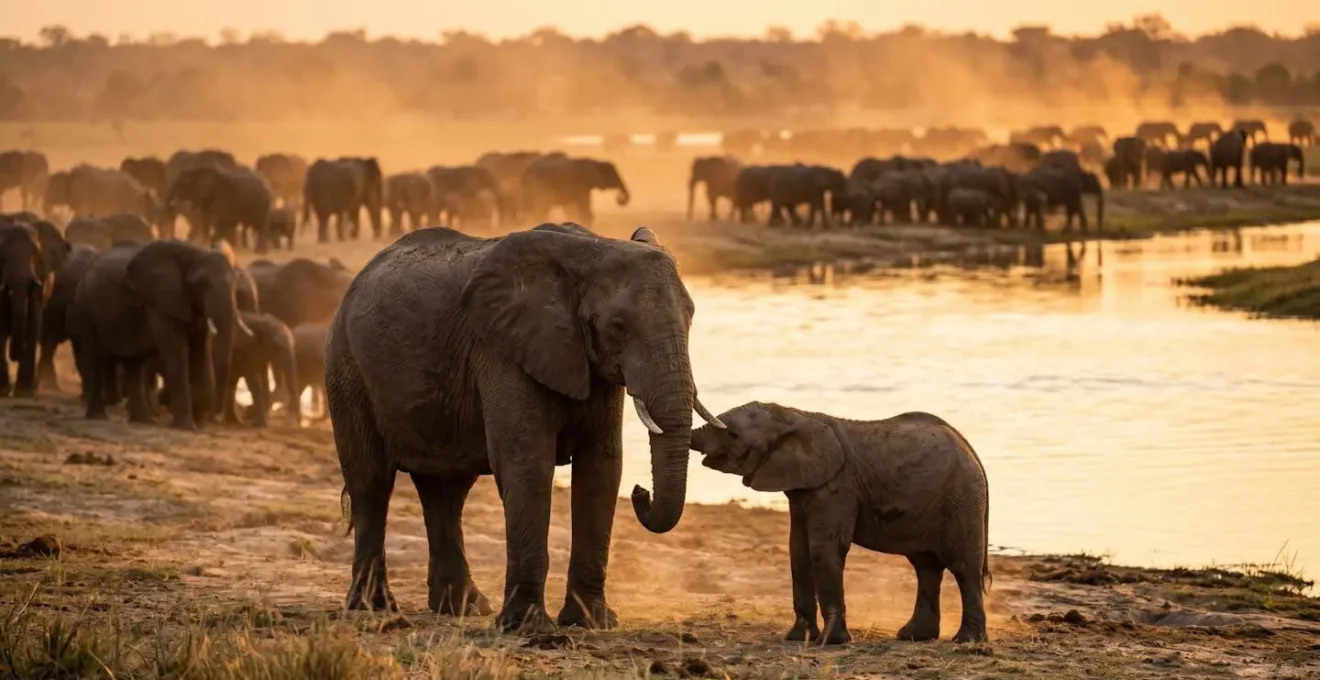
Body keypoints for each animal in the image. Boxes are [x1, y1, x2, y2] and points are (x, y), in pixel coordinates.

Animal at [0, 218, 70, 396]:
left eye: (36, 255)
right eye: (2, 256)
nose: (15, 356)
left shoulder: (41, 281)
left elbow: (33, 322)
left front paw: (24, 391)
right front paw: (4, 390)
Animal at [68, 240, 251, 429]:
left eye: (236, 286)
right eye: (200, 284)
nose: (215, 414)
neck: (195, 252)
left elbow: (200, 352)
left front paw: (198, 425)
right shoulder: (160, 301)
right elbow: (177, 351)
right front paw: (187, 427)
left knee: (134, 363)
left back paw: (143, 420)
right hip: (85, 306)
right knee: (98, 358)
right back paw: (98, 416)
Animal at [326, 223, 721, 631]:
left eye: (691, 317)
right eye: (617, 328)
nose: (642, 493)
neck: (591, 250)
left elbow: (602, 468)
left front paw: (592, 622)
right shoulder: (502, 350)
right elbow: (528, 464)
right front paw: (529, 628)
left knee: (446, 492)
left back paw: (464, 608)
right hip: (346, 366)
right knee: (371, 483)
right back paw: (375, 609)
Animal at [689, 403, 990, 645]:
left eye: (733, 435)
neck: (794, 415)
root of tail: (971, 449)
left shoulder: (837, 486)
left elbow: (823, 549)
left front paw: (831, 642)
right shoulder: (803, 486)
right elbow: (798, 551)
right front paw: (798, 638)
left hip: (961, 498)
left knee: (963, 567)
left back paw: (966, 641)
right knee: (926, 566)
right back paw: (914, 636)